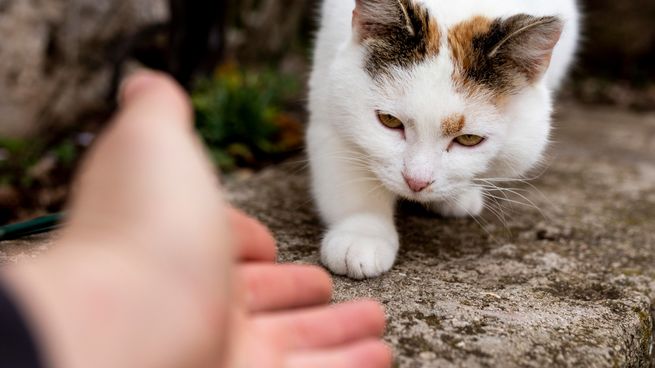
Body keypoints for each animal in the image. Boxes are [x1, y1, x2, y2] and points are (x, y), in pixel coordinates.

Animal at [306, 0, 580, 278]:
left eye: (469, 139)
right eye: (390, 121)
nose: (416, 182)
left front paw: (459, 195)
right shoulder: (328, 99)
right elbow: (351, 179)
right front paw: (362, 234)